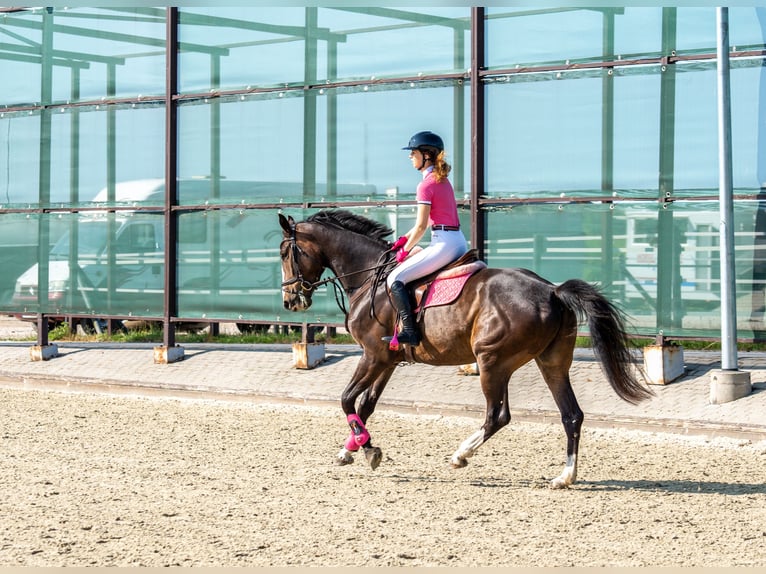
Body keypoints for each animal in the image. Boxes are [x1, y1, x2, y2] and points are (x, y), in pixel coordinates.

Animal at [280, 209, 652, 488]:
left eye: (286, 252)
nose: (290, 301)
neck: (371, 274)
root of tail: (553, 291)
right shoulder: (387, 361)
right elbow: (366, 405)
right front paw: (351, 449)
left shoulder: (373, 355)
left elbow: (346, 399)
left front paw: (368, 450)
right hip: (550, 363)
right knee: (571, 414)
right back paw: (565, 476)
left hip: (492, 362)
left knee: (497, 415)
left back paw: (460, 455)